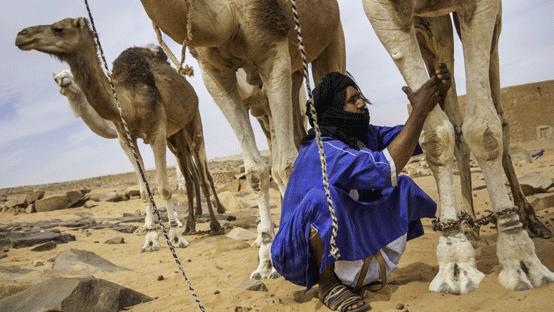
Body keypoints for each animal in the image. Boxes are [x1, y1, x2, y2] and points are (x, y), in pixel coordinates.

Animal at [17, 17, 224, 254]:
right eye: (56, 79)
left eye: (58, 28)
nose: (21, 35)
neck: (127, 101)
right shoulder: (126, 139)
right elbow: (144, 191)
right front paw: (151, 239)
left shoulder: (157, 132)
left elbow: (164, 188)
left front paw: (175, 237)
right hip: (176, 136)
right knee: (191, 177)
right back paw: (191, 224)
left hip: (193, 122)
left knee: (202, 174)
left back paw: (214, 224)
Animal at [139, 0, 344, 278]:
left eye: (157, 57)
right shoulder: (214, 73)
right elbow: (256, 171)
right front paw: (266, 260)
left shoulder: (272, 48)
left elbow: (286, 166)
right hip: (294, 73)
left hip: (331, 37)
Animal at [360, 0, 548, 292]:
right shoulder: (383, 9)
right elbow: (437, 135)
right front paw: (455, 260)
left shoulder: (483, 6)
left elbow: (485, 129)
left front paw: (520, 260)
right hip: (434, 25)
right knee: (457, 122)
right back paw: (469, 227)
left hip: (493, 27)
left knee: (500, 114)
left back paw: (529, 220)